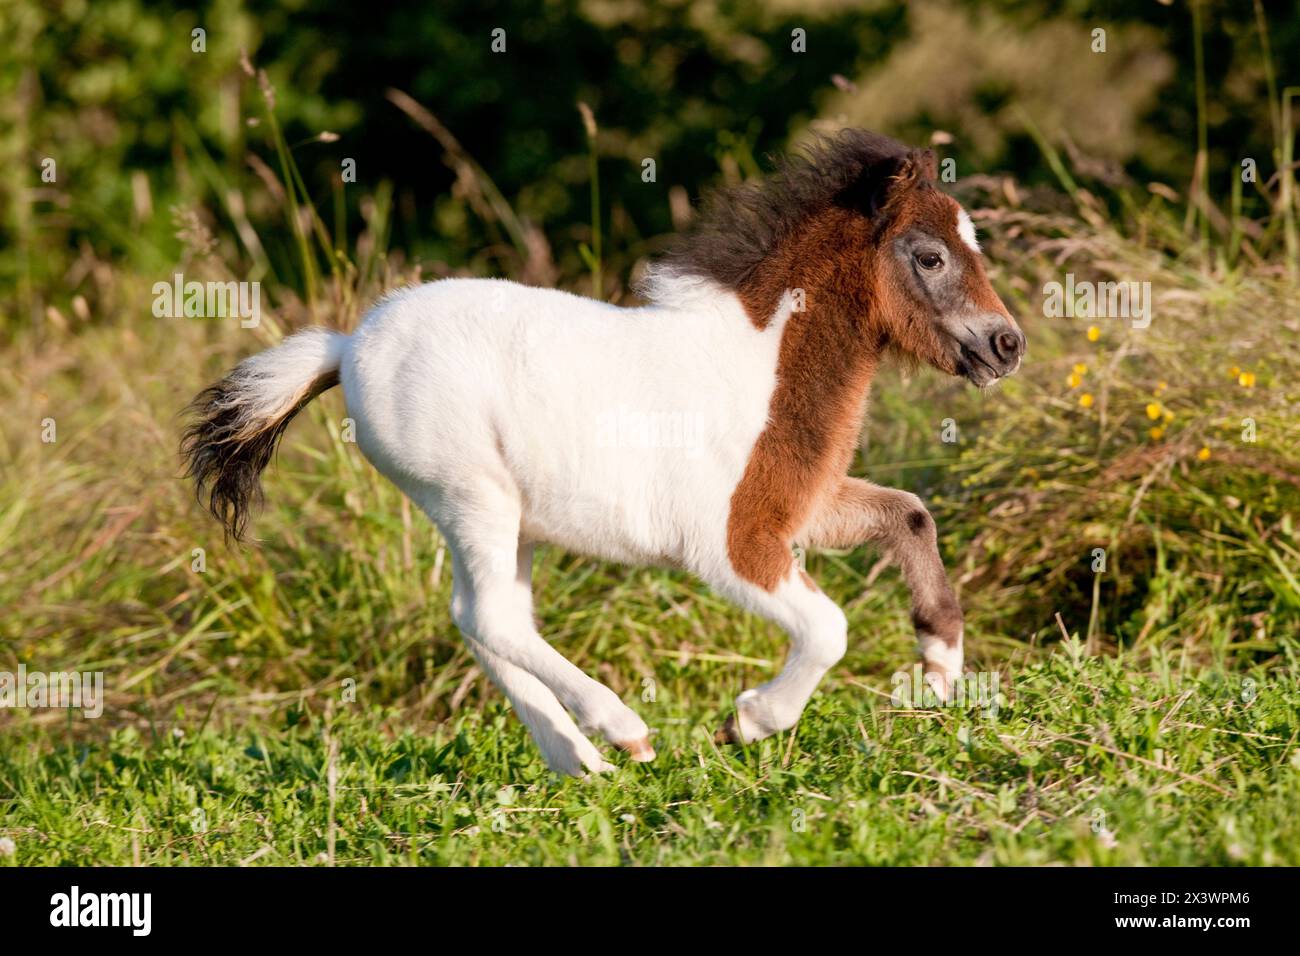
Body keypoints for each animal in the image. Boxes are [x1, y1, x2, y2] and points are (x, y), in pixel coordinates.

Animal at [182, 129, 1025, 777]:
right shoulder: (730, 545)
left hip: (498, 517)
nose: (1006, 344)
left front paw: (941, 668)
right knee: (491, 617)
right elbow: (829, 629)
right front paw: (747, 721)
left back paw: (577, 758)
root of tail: (348, 343)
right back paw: (623, 732)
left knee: (479, 617)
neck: (760, 366)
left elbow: (910, 515)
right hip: (471, 496)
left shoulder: (799, 507)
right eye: (930, 256)